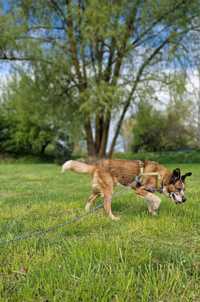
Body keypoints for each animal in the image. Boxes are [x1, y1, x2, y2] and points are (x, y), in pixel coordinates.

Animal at [61, 159, 192, 221]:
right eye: (179, 188)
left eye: (184, 189)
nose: (185, 200)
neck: (160, 176)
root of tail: (96, 166)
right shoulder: (139, 189)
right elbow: (156, 199)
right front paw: (155, 208)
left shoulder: (147, 192)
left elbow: (150, 200)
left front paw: (153, 213)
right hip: (109, 191)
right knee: (106, 206)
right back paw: (113, 218)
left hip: (99, 190)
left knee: (89, 199)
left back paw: (87, 212)